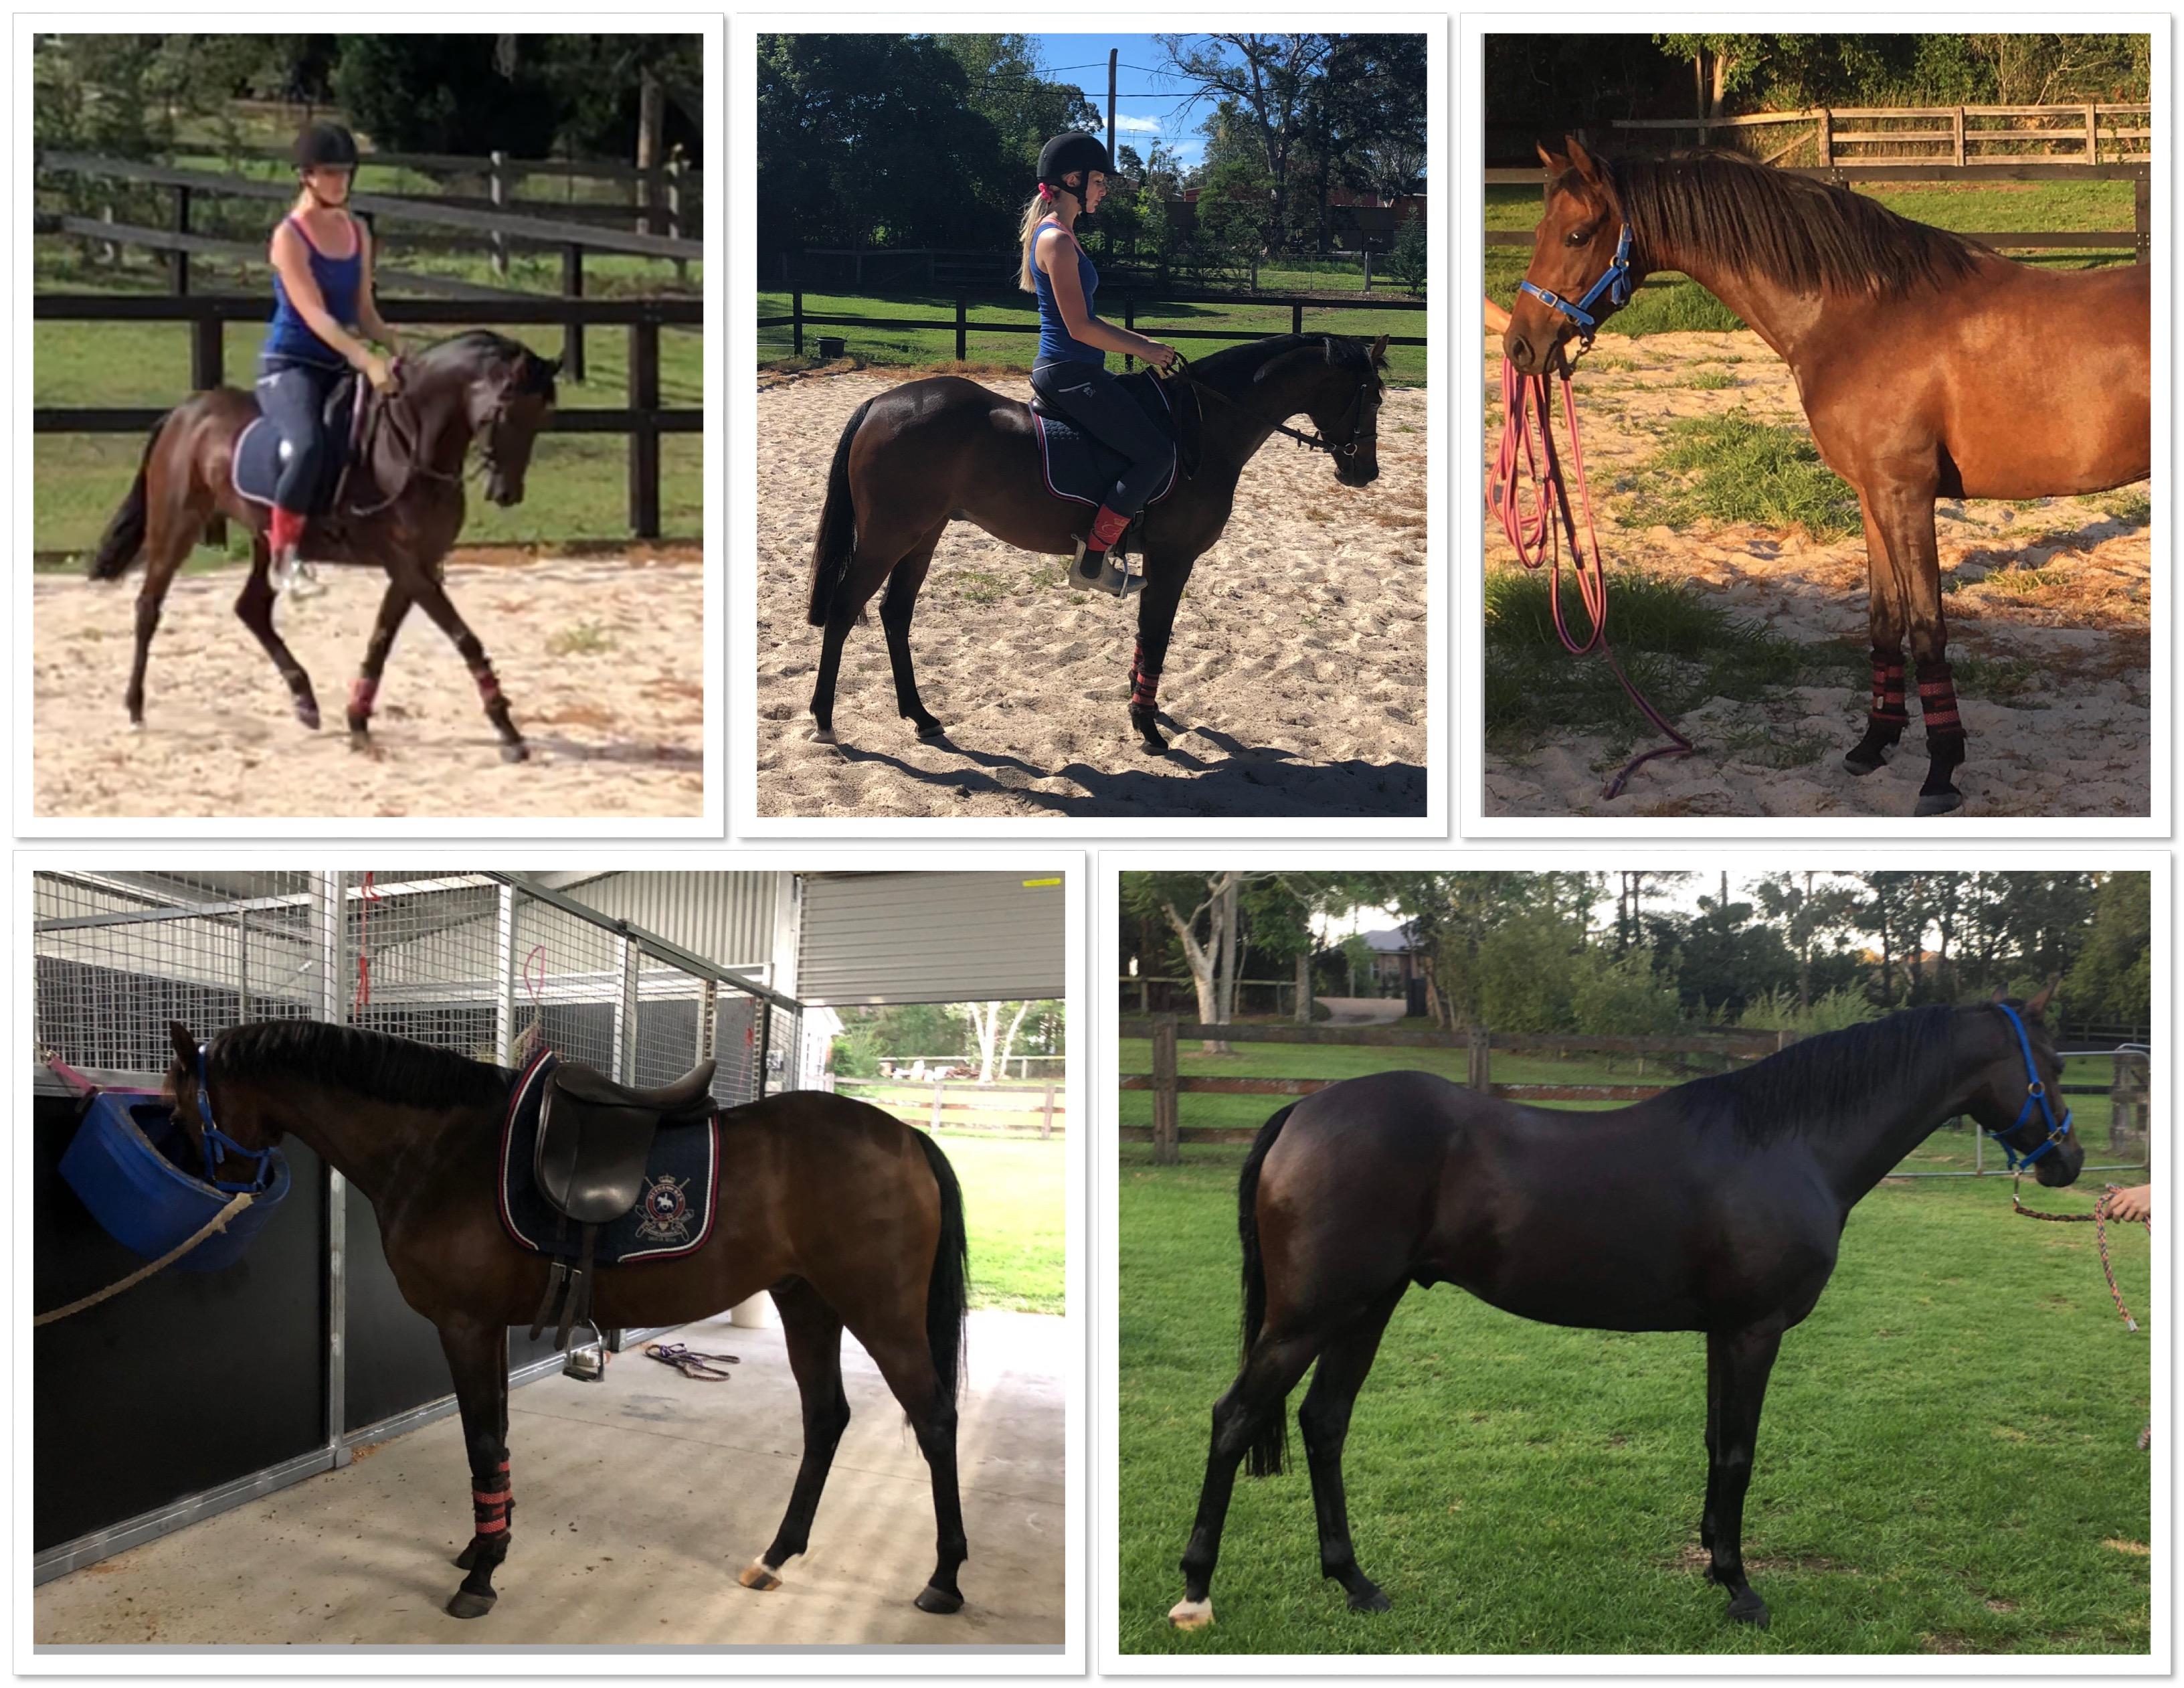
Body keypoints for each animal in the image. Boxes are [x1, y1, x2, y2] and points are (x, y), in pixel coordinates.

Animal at [86, 331, 562, 764]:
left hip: (267, 539)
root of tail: (186, 412)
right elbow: (465, 638)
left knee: (251, 608)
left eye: (542, 415)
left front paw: (358, 722)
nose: (507, 493)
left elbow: (381, 642)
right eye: (508, 410)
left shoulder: (415, 566)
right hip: (177, 525)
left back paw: (305, 700)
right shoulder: (408, 565)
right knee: (149, 607)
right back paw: (135, 706)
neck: (409, 446)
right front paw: (508, 730)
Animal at [157, 1018, 971, 1622]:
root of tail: (905, 1137)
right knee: (826, 1418)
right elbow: (496, 1439)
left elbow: (483, 1442)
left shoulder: (465, 1324)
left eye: (179, 1107)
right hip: (808, 1301)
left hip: (878, 1310)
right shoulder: (486, 1329)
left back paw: (945, 1577)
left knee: (934, 1420)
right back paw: (775, 1556)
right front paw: (488, 1542)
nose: (208, 1194)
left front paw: (481, 1574)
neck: (440, 1148)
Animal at [804, 332, 1389, 755]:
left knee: (895, 613)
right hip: (889, 536)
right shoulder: (1174, 558)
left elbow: (1146, 636)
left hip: (923, 534)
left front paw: (1139, 703)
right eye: (1374, 398)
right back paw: (825, 721)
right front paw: (1147, 726)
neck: (1203, 430)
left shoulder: (1160, 561)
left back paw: (921, 718)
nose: (1365, 472)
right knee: (844, 609)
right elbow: (1158, 635)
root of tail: (881, 401)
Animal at [1170, 989, 2082, 1635]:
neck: (1787, 1143)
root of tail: (1303, 1109)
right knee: (1236, 1415)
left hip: (1366, 1306)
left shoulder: (1723, 1332)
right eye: (2056, 1065)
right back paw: (1196, 1591)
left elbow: (1716, 1444)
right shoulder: (1753, 1331)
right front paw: (1742, 1589)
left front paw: (1715, 1562)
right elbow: (1741, 1451)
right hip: (1312, 1314)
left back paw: (1355, 1581)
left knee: (1324, 1422)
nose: (2067, 1159)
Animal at [1504, 139, 2150, 817]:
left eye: (1577, 234)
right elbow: (1884, 621)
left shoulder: (1905, 495)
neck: (1865, 316)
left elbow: (1927, 628)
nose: (1520, 345)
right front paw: (1873, 745)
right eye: (1541, 230)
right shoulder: (1872, 497)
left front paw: (1941, 772)